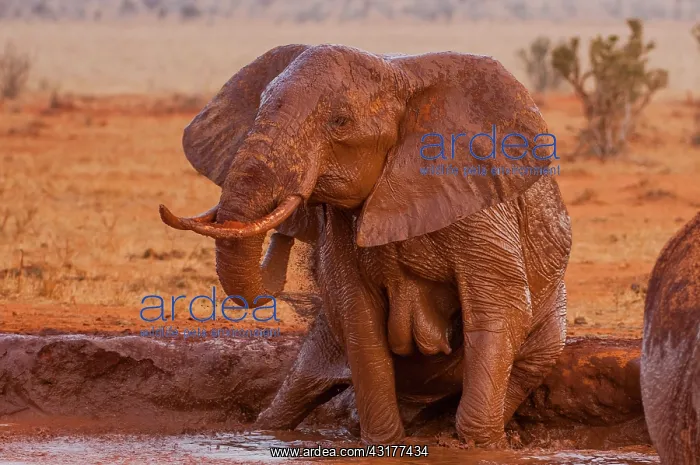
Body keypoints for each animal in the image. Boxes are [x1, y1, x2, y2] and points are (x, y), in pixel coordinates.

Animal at [159, 44, 572, 446]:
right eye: (257, 111)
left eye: (340, 122)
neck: (401, 74)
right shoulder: (339, 231)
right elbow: (358, 315)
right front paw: (385, 444)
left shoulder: (477, 203)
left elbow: (499, 309)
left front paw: (477, 447)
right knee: (299, 386)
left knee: (535, 359)